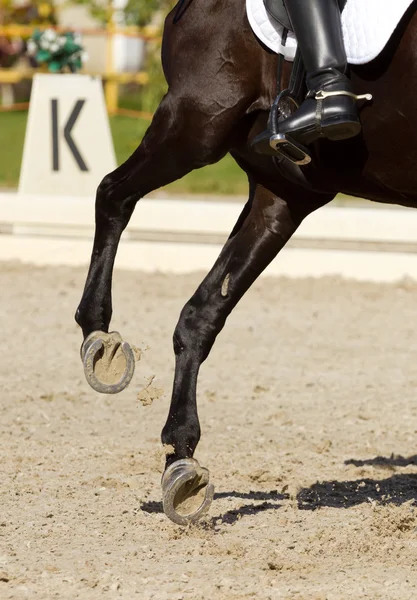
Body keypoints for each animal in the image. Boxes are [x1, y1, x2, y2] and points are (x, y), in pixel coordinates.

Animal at [76, 0, 416, 524]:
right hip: (199, 121)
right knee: (114, 193)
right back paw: (98, 335)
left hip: (284, 192)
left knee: (200, 313)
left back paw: (182, 462)